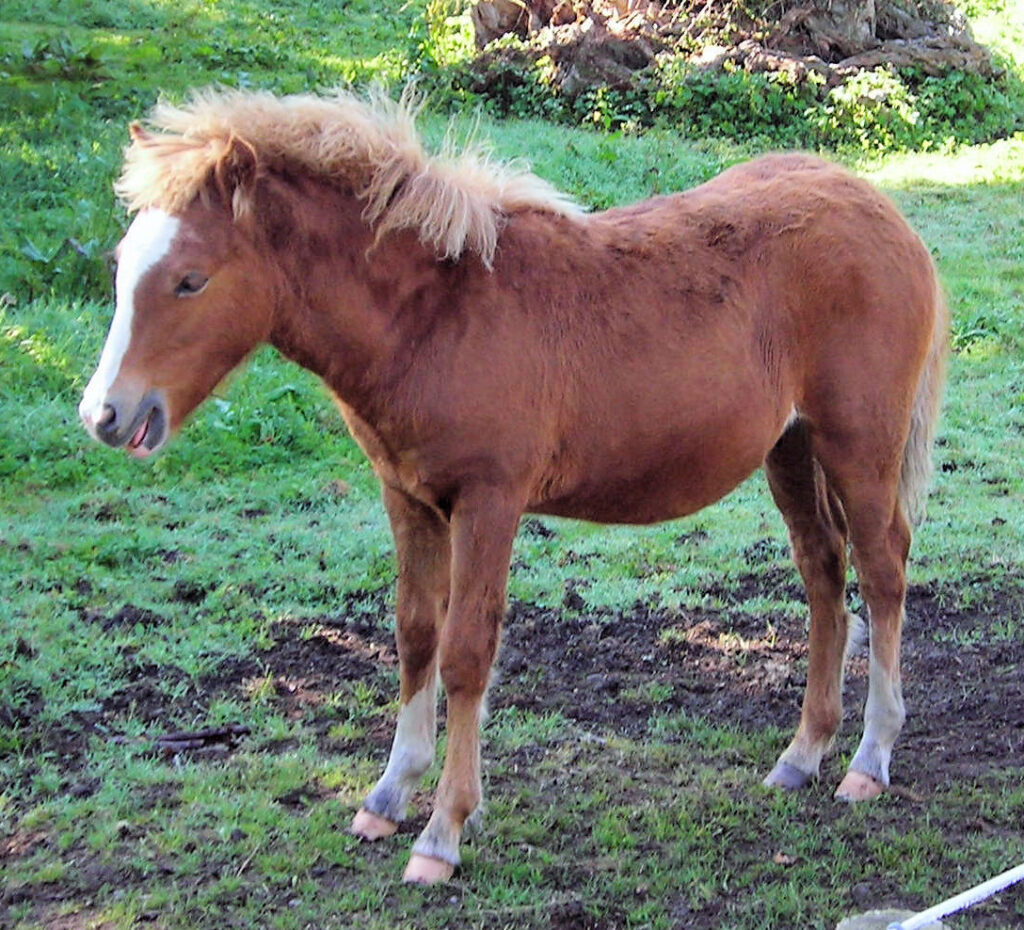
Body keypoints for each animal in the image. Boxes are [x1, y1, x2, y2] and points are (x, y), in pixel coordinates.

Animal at [79, 88, 947, 885]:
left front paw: (442, 834)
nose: (105, 414)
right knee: (824, 575)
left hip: (858, 445)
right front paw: (386, 796)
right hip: (790, 450)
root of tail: (884, 212)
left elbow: (467, 653)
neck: (435, 316)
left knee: (882, 575)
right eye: (121, 267)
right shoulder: (408, 498)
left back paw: (868, 760)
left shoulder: (489, 501)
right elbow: (414, 636)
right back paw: (802, 754)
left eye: (191, 280)